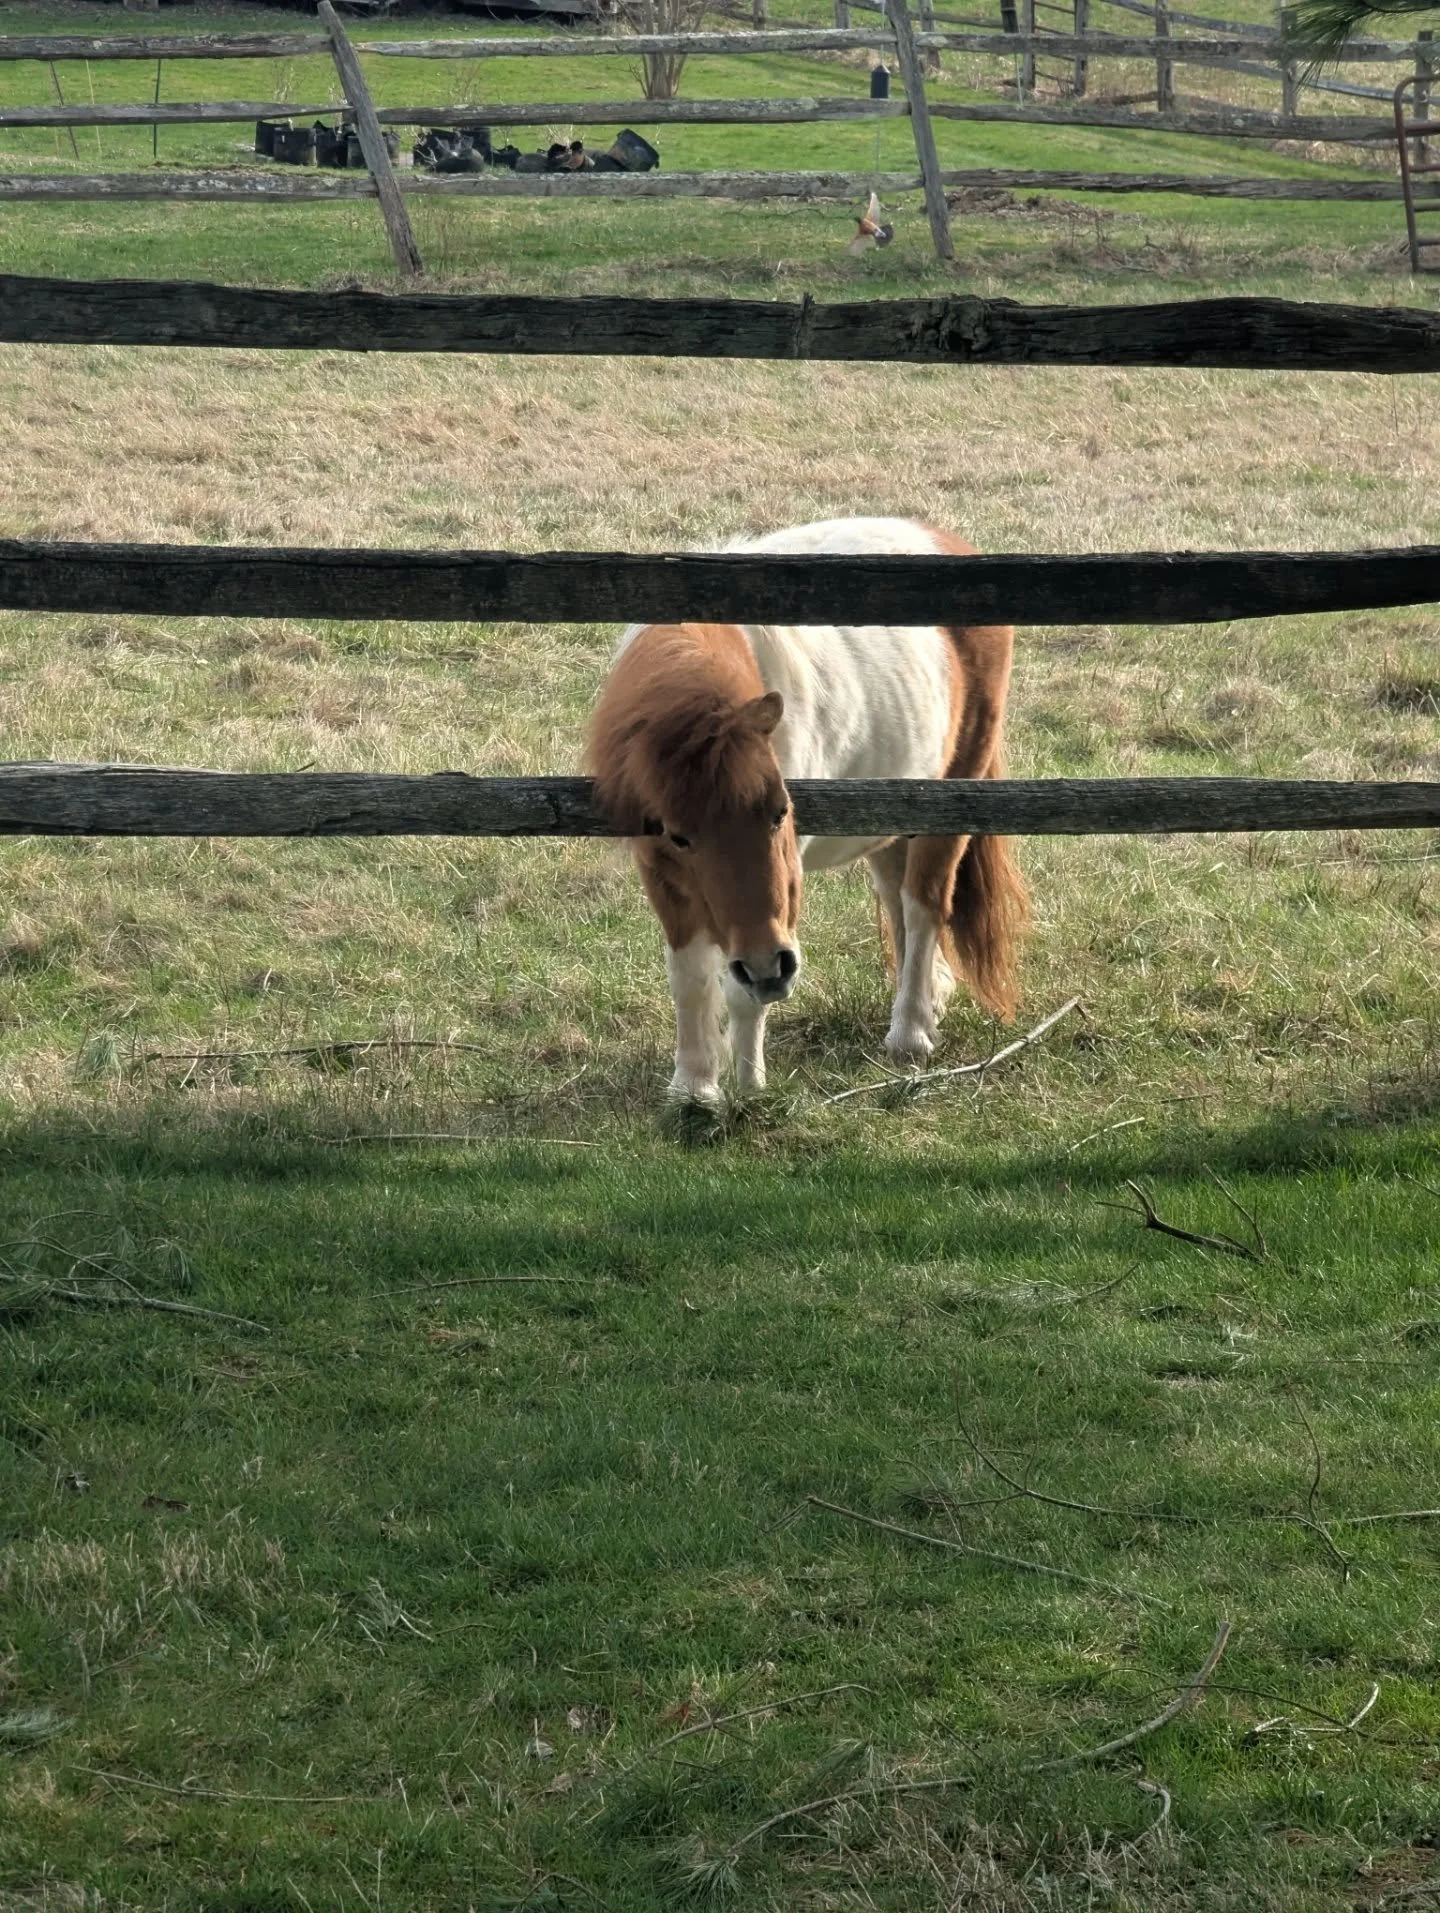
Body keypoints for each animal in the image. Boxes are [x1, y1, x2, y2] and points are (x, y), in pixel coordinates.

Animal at [588, 517, 1028, 1104]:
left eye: (780, 813)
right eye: (679, 836)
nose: (769, 969)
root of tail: (948, 543)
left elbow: (740, 991)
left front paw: (749, 1089)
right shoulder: (660, 874)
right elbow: (689, 977)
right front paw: (695, 1088)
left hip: (952, 797)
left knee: (923, 904)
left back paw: (910, 1031)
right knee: (897, 899)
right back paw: (929, 997)